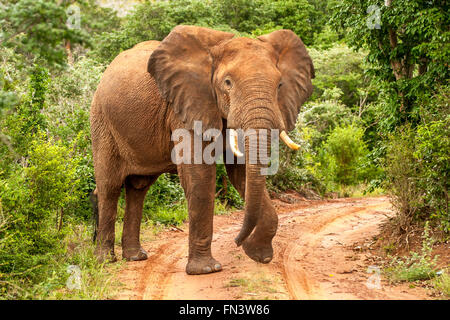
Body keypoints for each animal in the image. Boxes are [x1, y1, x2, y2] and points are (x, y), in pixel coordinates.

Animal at [88, 25, 312, 276]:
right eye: (227, 83)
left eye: (280, 85)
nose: (237, 241)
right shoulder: (186, 106)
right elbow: (200, 176)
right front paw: (207, 269)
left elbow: (241, 174)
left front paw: (258, 255)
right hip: (102, 123)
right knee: (109, 187)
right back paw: (105, 260)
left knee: (138, 187)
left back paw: (135, 257)